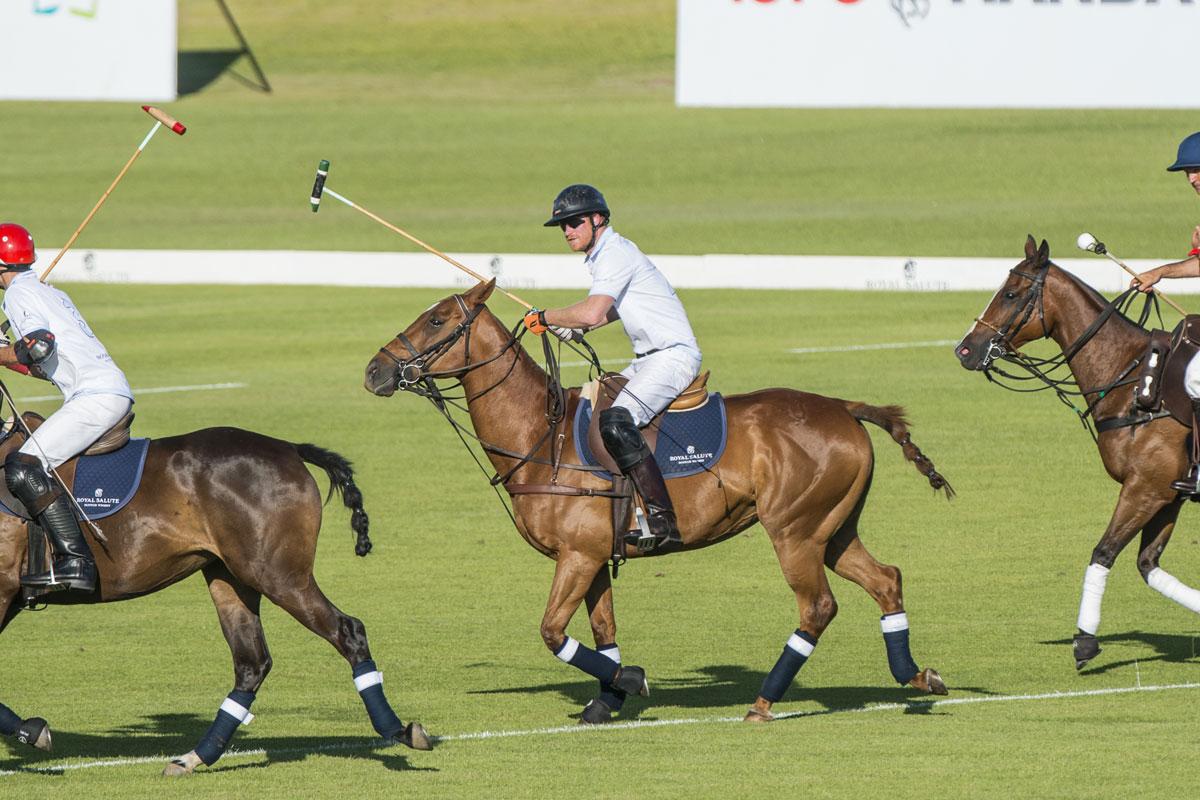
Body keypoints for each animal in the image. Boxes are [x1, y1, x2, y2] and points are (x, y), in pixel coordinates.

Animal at [0, 410, 432, 772]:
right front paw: (31, 730)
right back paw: (194, 757)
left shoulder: (4, 589)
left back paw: (399, 731)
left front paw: (32, 731)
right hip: (230, 576)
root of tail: (289, 449)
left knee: (347, 630)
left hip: (279, 575)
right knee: (252, 662)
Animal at [360, 278, 950, 724]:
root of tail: (846, 408)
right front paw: (607, 701)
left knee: (818, 606)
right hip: (833, 528)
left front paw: (632, 679)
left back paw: (764, 702)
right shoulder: (594, 556)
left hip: (794, 530)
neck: (540, 436)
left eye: (438, 320)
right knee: (886, 579)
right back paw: (918, 676)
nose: (374, 371)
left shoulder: (577, 555)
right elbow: (604, 632)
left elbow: (552, 631)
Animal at [955, 236, 1200, 671]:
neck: (1130, 381)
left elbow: (1103, 551)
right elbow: (1147, 564)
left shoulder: (1145, 489)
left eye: (1011, 293)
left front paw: (1084, 642)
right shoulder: (1168, 494)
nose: (965, 350)